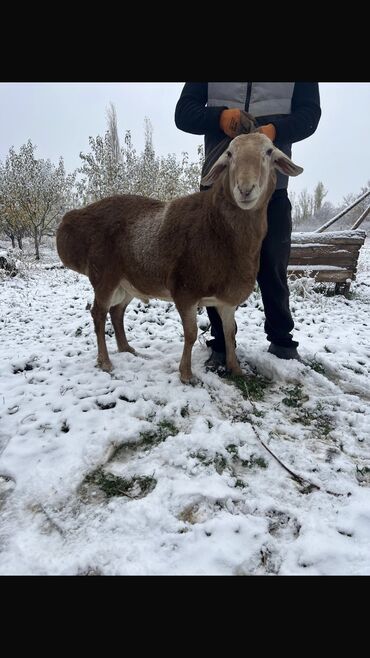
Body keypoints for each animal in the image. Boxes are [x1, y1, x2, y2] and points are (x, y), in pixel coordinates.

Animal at [56, 132, 302, 380]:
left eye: (269, 152)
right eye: (230, 154)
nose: (245, 189)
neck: (216, 226)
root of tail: (73, 218)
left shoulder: (226, 299)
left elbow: (230, 333)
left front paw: (236, 369)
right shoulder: (185, 291)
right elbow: (191, 334)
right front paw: (186, 374)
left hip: (129, 282)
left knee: (116, 313)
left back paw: (126, 348)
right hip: (105, 276)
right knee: (98, 314)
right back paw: (105, 361)